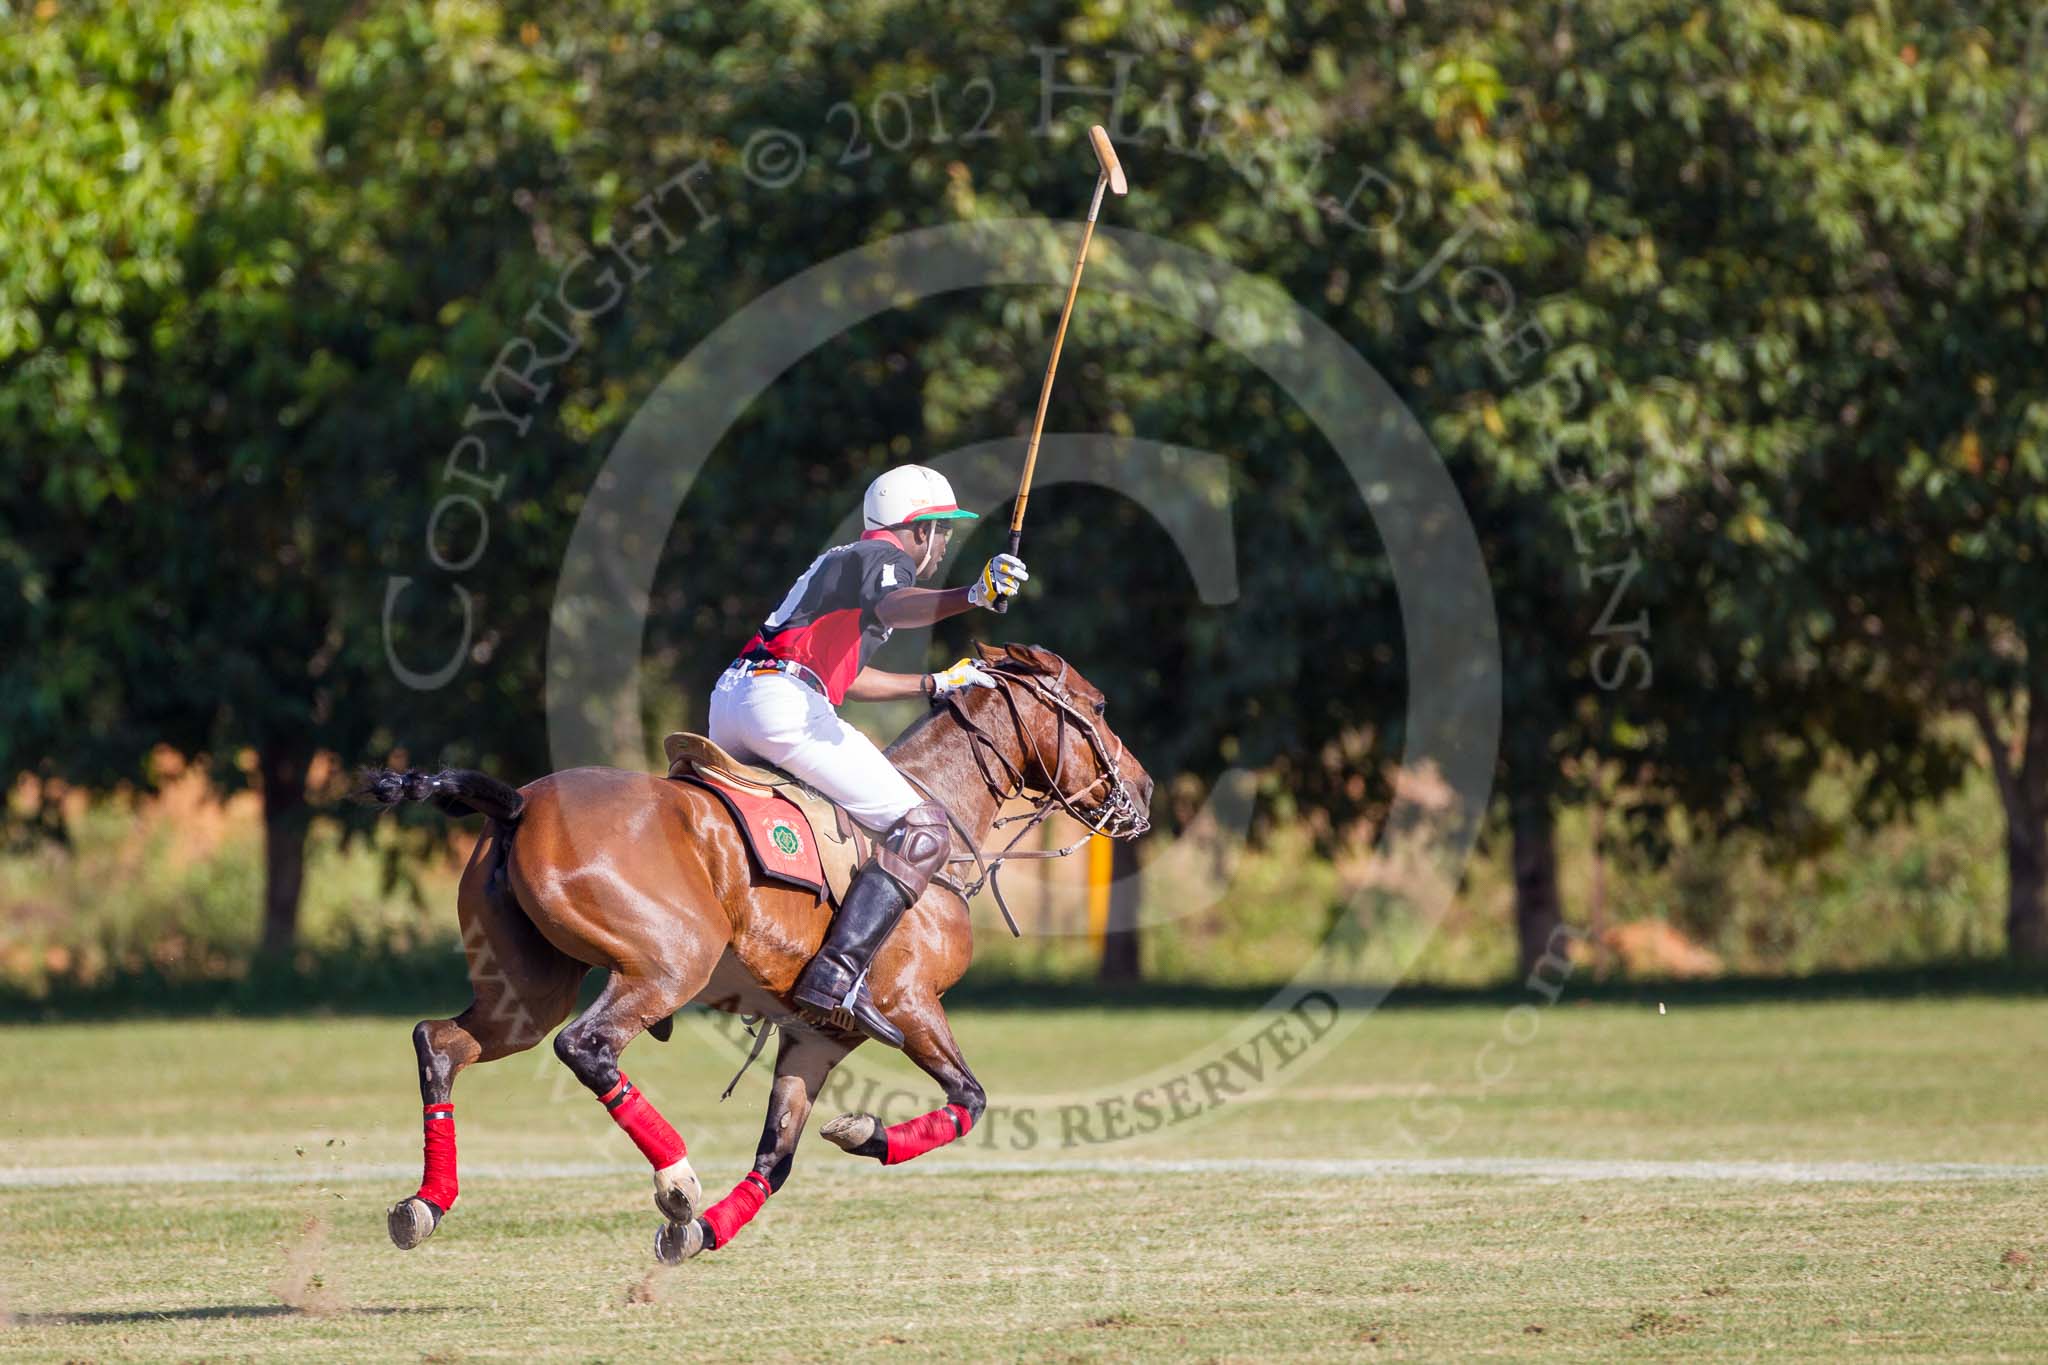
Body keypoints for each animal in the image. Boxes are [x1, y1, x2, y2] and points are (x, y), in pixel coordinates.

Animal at [358, 646, 1146, 1268]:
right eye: (1100, 705)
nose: (1141, 791)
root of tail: (518, 803)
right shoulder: (911, 1004)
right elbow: (972, 1099)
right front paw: (865, 1133)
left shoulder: (817, 1035)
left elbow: (779, 1154)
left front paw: (709, 1231)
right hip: (672, 963)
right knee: (585, 1045)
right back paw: (677, 1180)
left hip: (526, 993)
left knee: (440, 1041)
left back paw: (426, 1203)